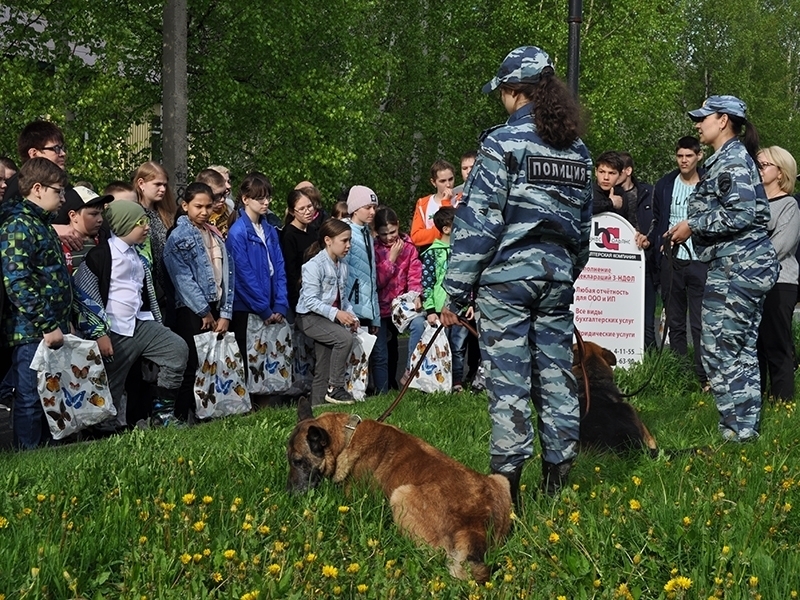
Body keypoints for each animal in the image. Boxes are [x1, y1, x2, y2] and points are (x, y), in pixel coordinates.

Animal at [288, 396, 512, 584]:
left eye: (297, 461)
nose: (289, 494)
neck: (347, 437)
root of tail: (477, 525)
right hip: (502, 481)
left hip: (400, 495)